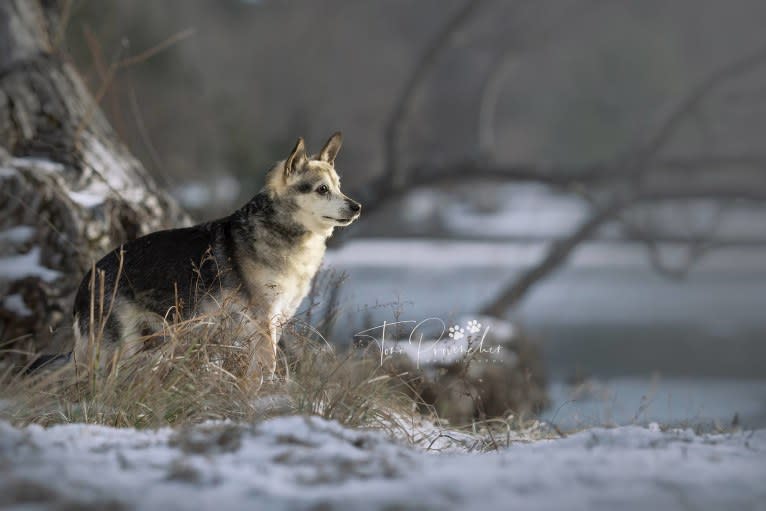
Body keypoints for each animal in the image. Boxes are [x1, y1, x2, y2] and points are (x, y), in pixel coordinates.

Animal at [31, 134, 362, 382]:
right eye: (322, 190)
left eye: (339, 186)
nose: (357, 207)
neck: (282, 231)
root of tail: (87, 279)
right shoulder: (262, 322)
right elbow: (266, 368)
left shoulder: (275, 323)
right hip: (118, 349)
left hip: (148, 345)